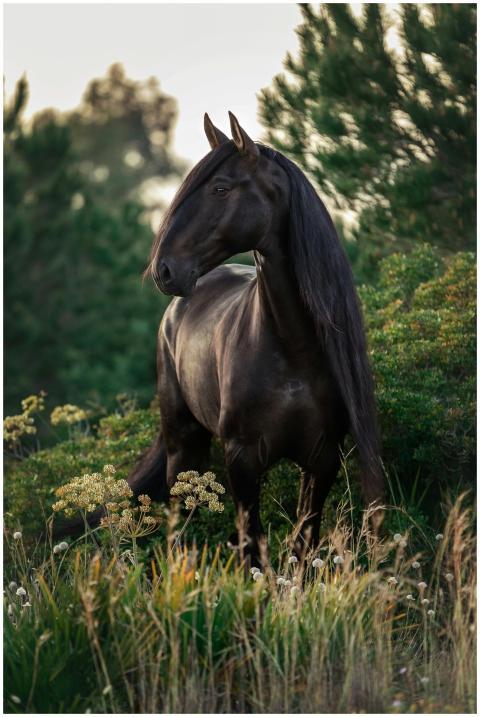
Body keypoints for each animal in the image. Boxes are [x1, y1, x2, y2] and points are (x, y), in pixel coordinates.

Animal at [125, 112, 384, 558]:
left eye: (221, 188)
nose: (164, 270)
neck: (293, 349)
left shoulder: (322, 459)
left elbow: (303, 541)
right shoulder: (243, 460)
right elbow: (252, 547)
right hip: (184, 444)